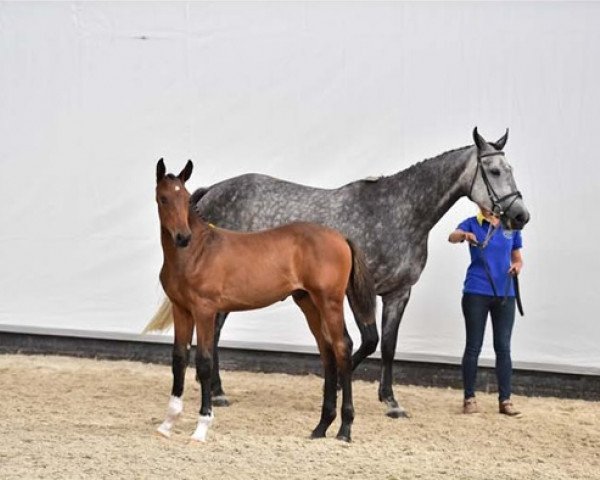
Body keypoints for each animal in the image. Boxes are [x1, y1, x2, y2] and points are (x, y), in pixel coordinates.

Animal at [155, 160, 376, 442]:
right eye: (163, 198)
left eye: (185, 198)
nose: (182, 237)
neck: (196, 253)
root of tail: (342, 238)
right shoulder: (181, 309)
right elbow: (178, 359)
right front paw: (167, 423)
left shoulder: (204, 310)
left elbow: (204, 362)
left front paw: (202, 427)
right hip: (309, 303)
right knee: (327, 351)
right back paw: (321, 427)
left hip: (330, 301)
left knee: (342, 348)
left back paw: (345, 429)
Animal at [192, 127, 528, 416]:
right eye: (495, 171)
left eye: (511, 169)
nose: (520, 216)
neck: (397, 213)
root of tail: (211, 191)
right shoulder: (358, 293)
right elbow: (369, 341)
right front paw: (336, 386)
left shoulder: (398, 293)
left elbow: (388, 346)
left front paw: (390, 401)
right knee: (213, 329)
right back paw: (216, 392)